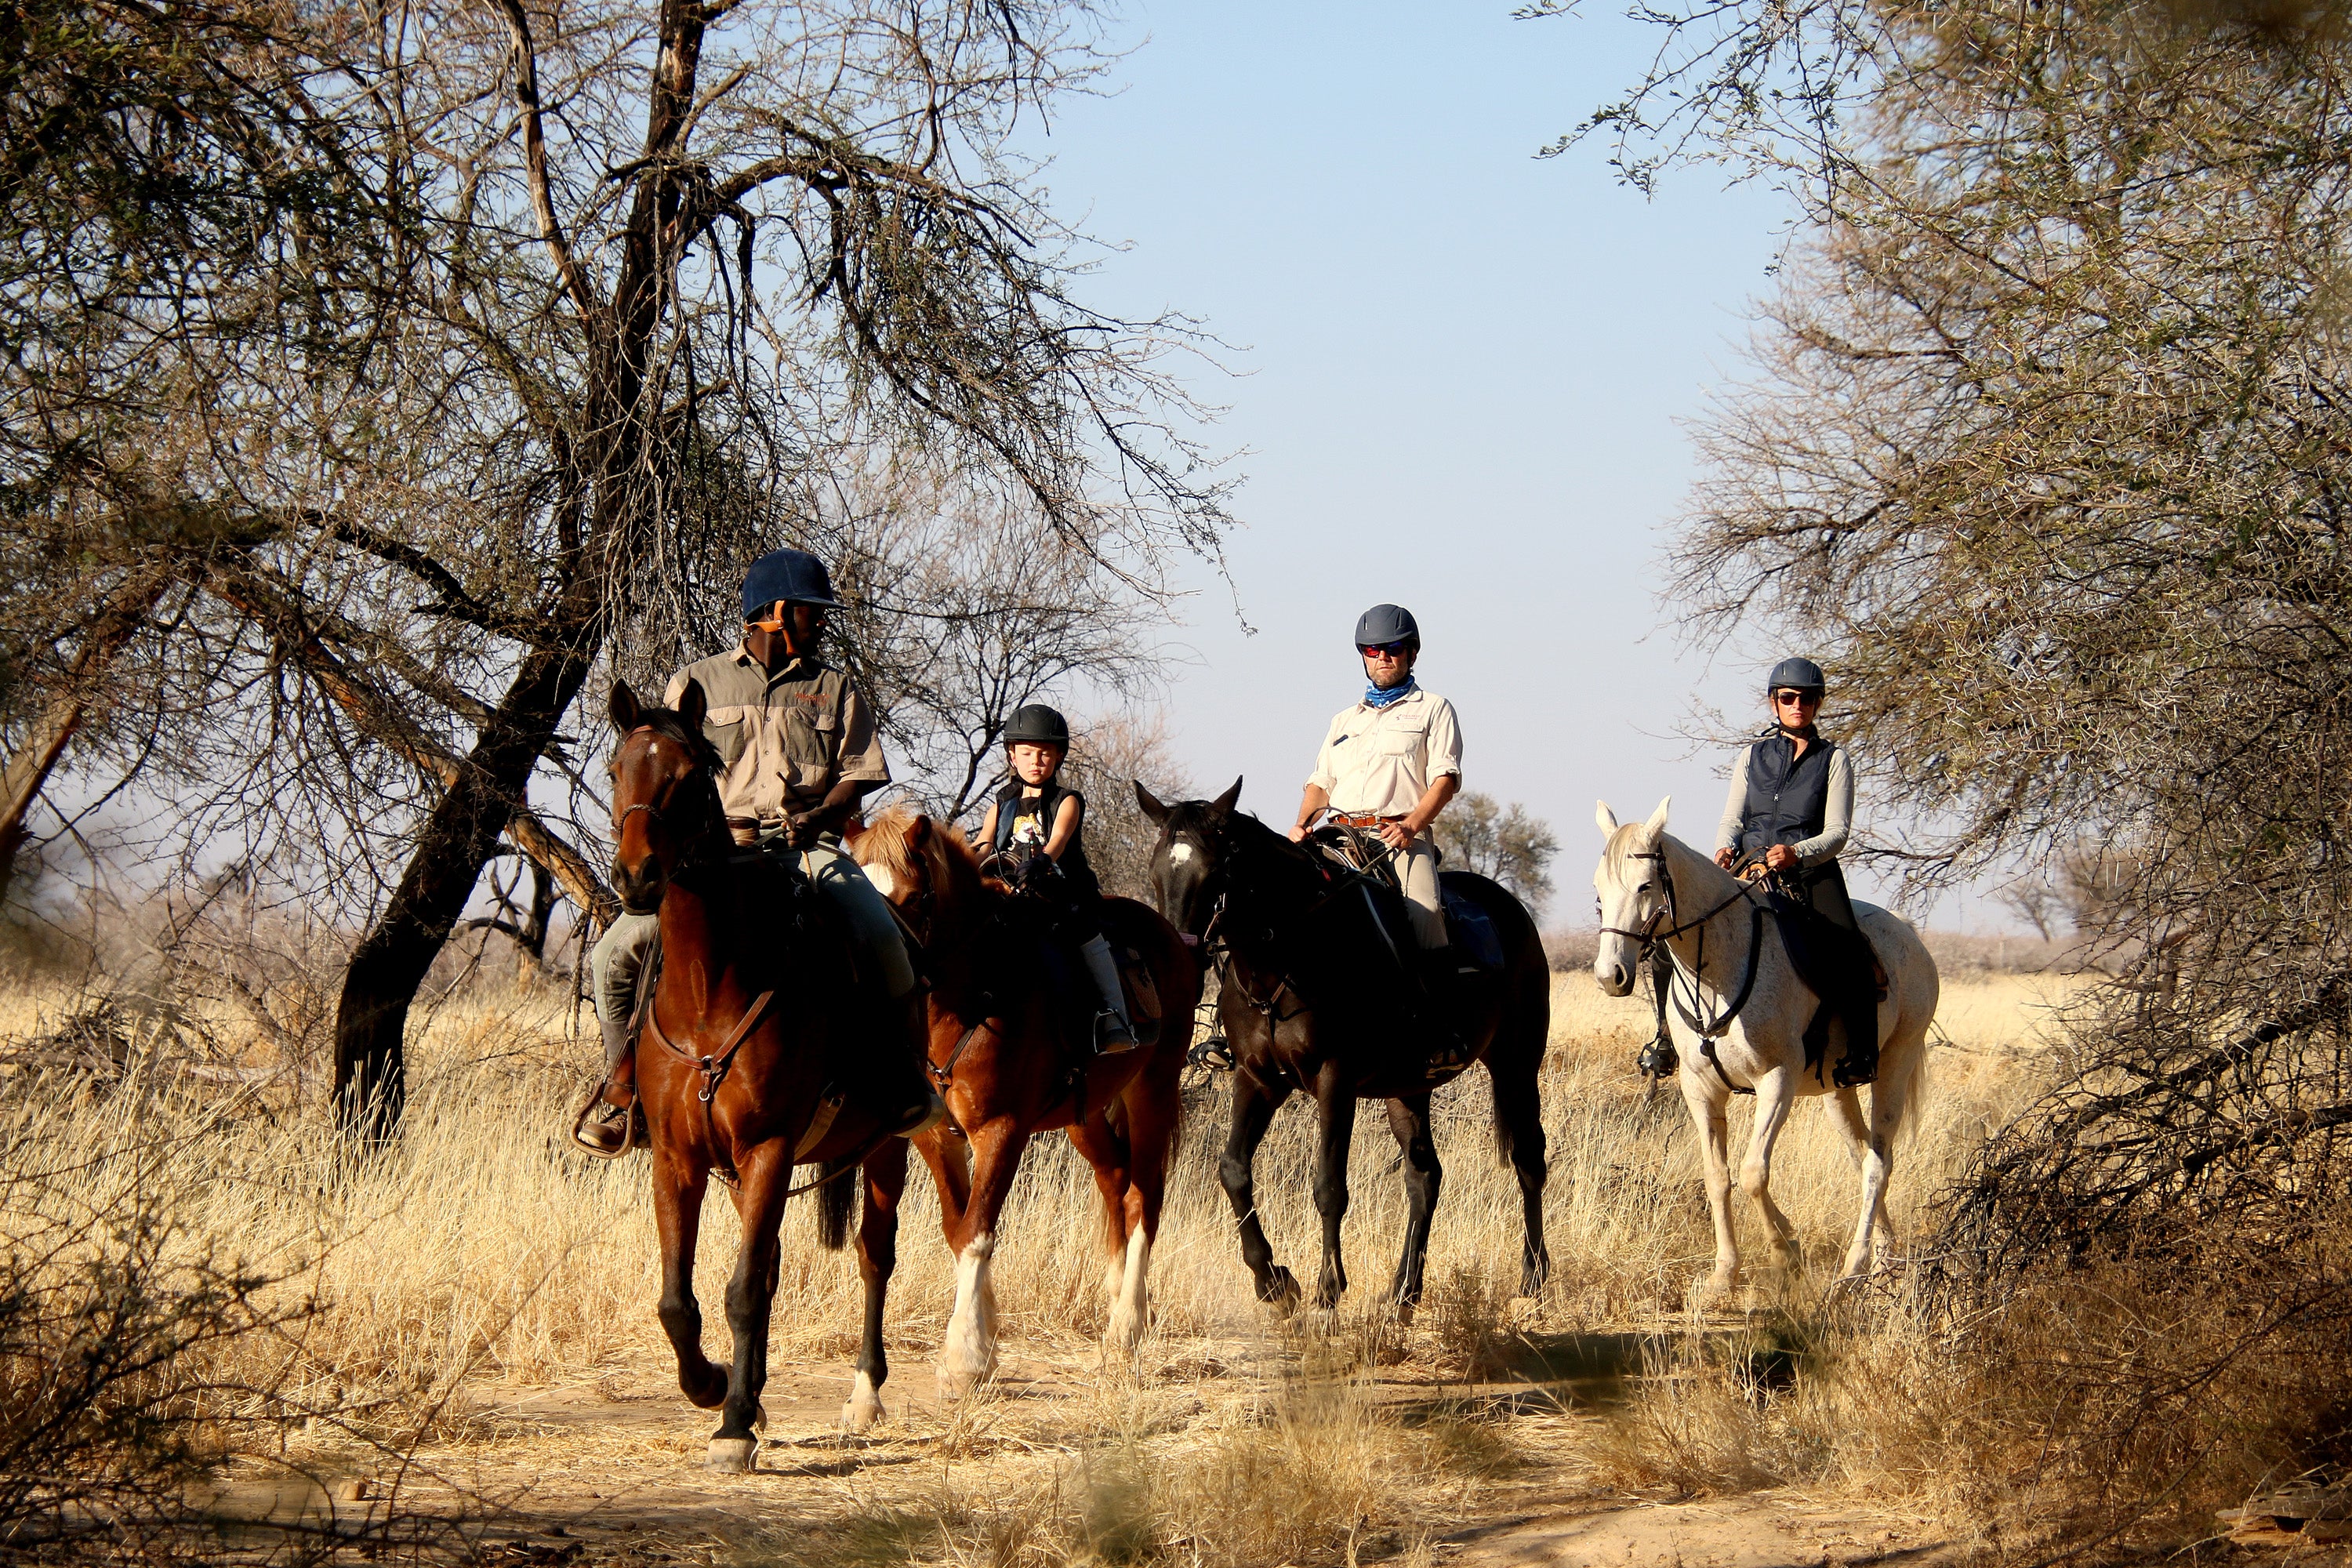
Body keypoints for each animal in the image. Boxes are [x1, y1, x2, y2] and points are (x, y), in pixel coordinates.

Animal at [606, 679, 922, 1469]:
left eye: (690, 778)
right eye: (616, 771)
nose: (636, 877)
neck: (708, 991)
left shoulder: (768, 1149)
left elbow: (744, 1289)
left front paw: (731, 1426)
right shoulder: (680, 1160)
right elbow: (678, 1300)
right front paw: (717, 1388)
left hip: (887, 1149)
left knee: (875, 1256)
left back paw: (863, 1394)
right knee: (778, 1265)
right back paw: (753, 1391)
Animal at [848, 808, 1201, 1400]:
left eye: (916, 897)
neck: (971, 995)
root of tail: (1166, 933)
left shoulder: (1001, 1131)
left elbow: (976, 1232)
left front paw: (965, 1357)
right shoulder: (936, 1137)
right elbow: (957, 1227)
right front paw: (985, 1341)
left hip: (1153, 1088)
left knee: (1142, 1197)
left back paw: (1126, 1328)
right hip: (1086, 1114)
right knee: (1115, 1180)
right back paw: (1116, 1301)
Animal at [1139, 779, 1552, 1320]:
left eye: (1213, 872)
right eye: (1155, 870)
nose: (1181, 960)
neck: (1287, 957)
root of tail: (1511, 907)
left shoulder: (1335, 1081)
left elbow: (1329, 1186)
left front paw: (1327, 1289)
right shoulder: (1257, 1079)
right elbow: (1233, 1171)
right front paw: (1273, 1281)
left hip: (1516, 1066)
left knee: (1528, 1161)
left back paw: (1533, 1277)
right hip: (1408, 1088)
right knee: (1425, 1178)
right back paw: (1403, 1292)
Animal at [1590, 798, 1939, 1289]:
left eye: (1644, 885)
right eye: (1599, 890)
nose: (1610, 976)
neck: (1718, 967)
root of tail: (1910, 935)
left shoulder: (1777, 1081)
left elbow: (1754, 1173)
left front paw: (1784, 1252)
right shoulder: (1700, 1090)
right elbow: (1718, 1177)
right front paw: (1725, 1272)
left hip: (1895, 1065)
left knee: (1878, 1164)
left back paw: (1854, 1266)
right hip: (1838, 1090)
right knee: (1863, 1155)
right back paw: (1885, 1257)